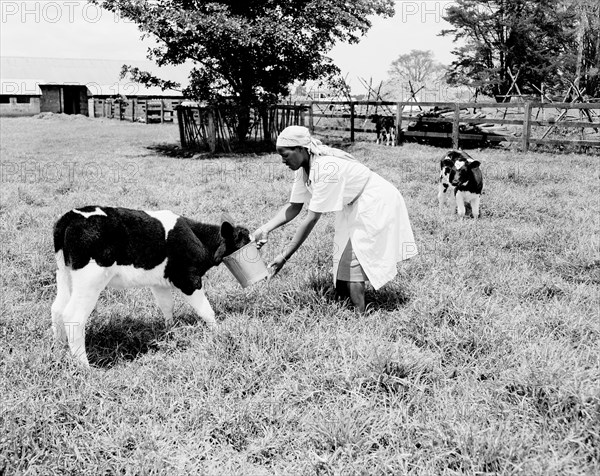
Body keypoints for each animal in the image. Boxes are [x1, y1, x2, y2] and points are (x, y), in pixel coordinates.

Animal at [49, 205, 251, 368]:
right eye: (244, 241)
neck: (198, 238)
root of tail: (69, 216)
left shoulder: (159, 282)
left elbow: (167, 307)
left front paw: (171, 332)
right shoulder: (188, 279)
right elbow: (207, 311)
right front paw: (218, 332)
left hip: (64, 274)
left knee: (57, 308)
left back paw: (59, 349)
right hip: (90, 280)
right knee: (73, 316)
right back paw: (84, 365)